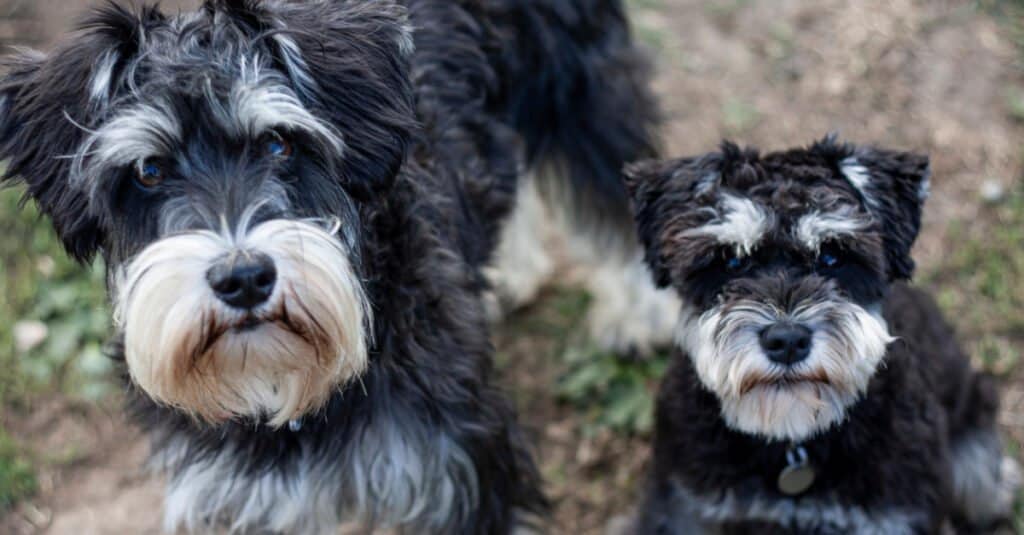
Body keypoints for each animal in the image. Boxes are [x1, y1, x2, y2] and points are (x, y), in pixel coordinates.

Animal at [0, 2, 659, 528]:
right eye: (148, 171)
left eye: (279, 142)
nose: (243, 279)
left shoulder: (468, 470)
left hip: (579, 84)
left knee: (613, 190)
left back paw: (638, 317)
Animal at [618, 138, 1019, 532]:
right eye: (730, 260)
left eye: (832, 255)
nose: (787, 341)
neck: (791, 444)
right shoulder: (683, 508)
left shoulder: (897, 516)